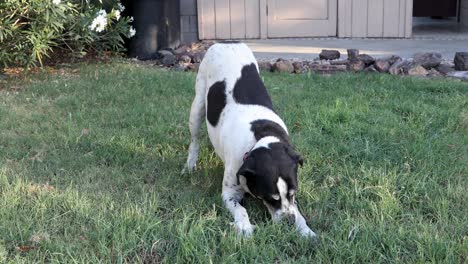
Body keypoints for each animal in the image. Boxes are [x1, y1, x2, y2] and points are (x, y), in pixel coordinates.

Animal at [185, 42, 316, 238]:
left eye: (293, 194)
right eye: (271, 198)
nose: (289, 222)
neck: (261, 136)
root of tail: (227, 43)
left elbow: (298, 211)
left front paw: (305, 230)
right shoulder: (229, 193)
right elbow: (241, 210)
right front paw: (245, 227)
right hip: (198, 105)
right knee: (194, 140)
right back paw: (190, 164)